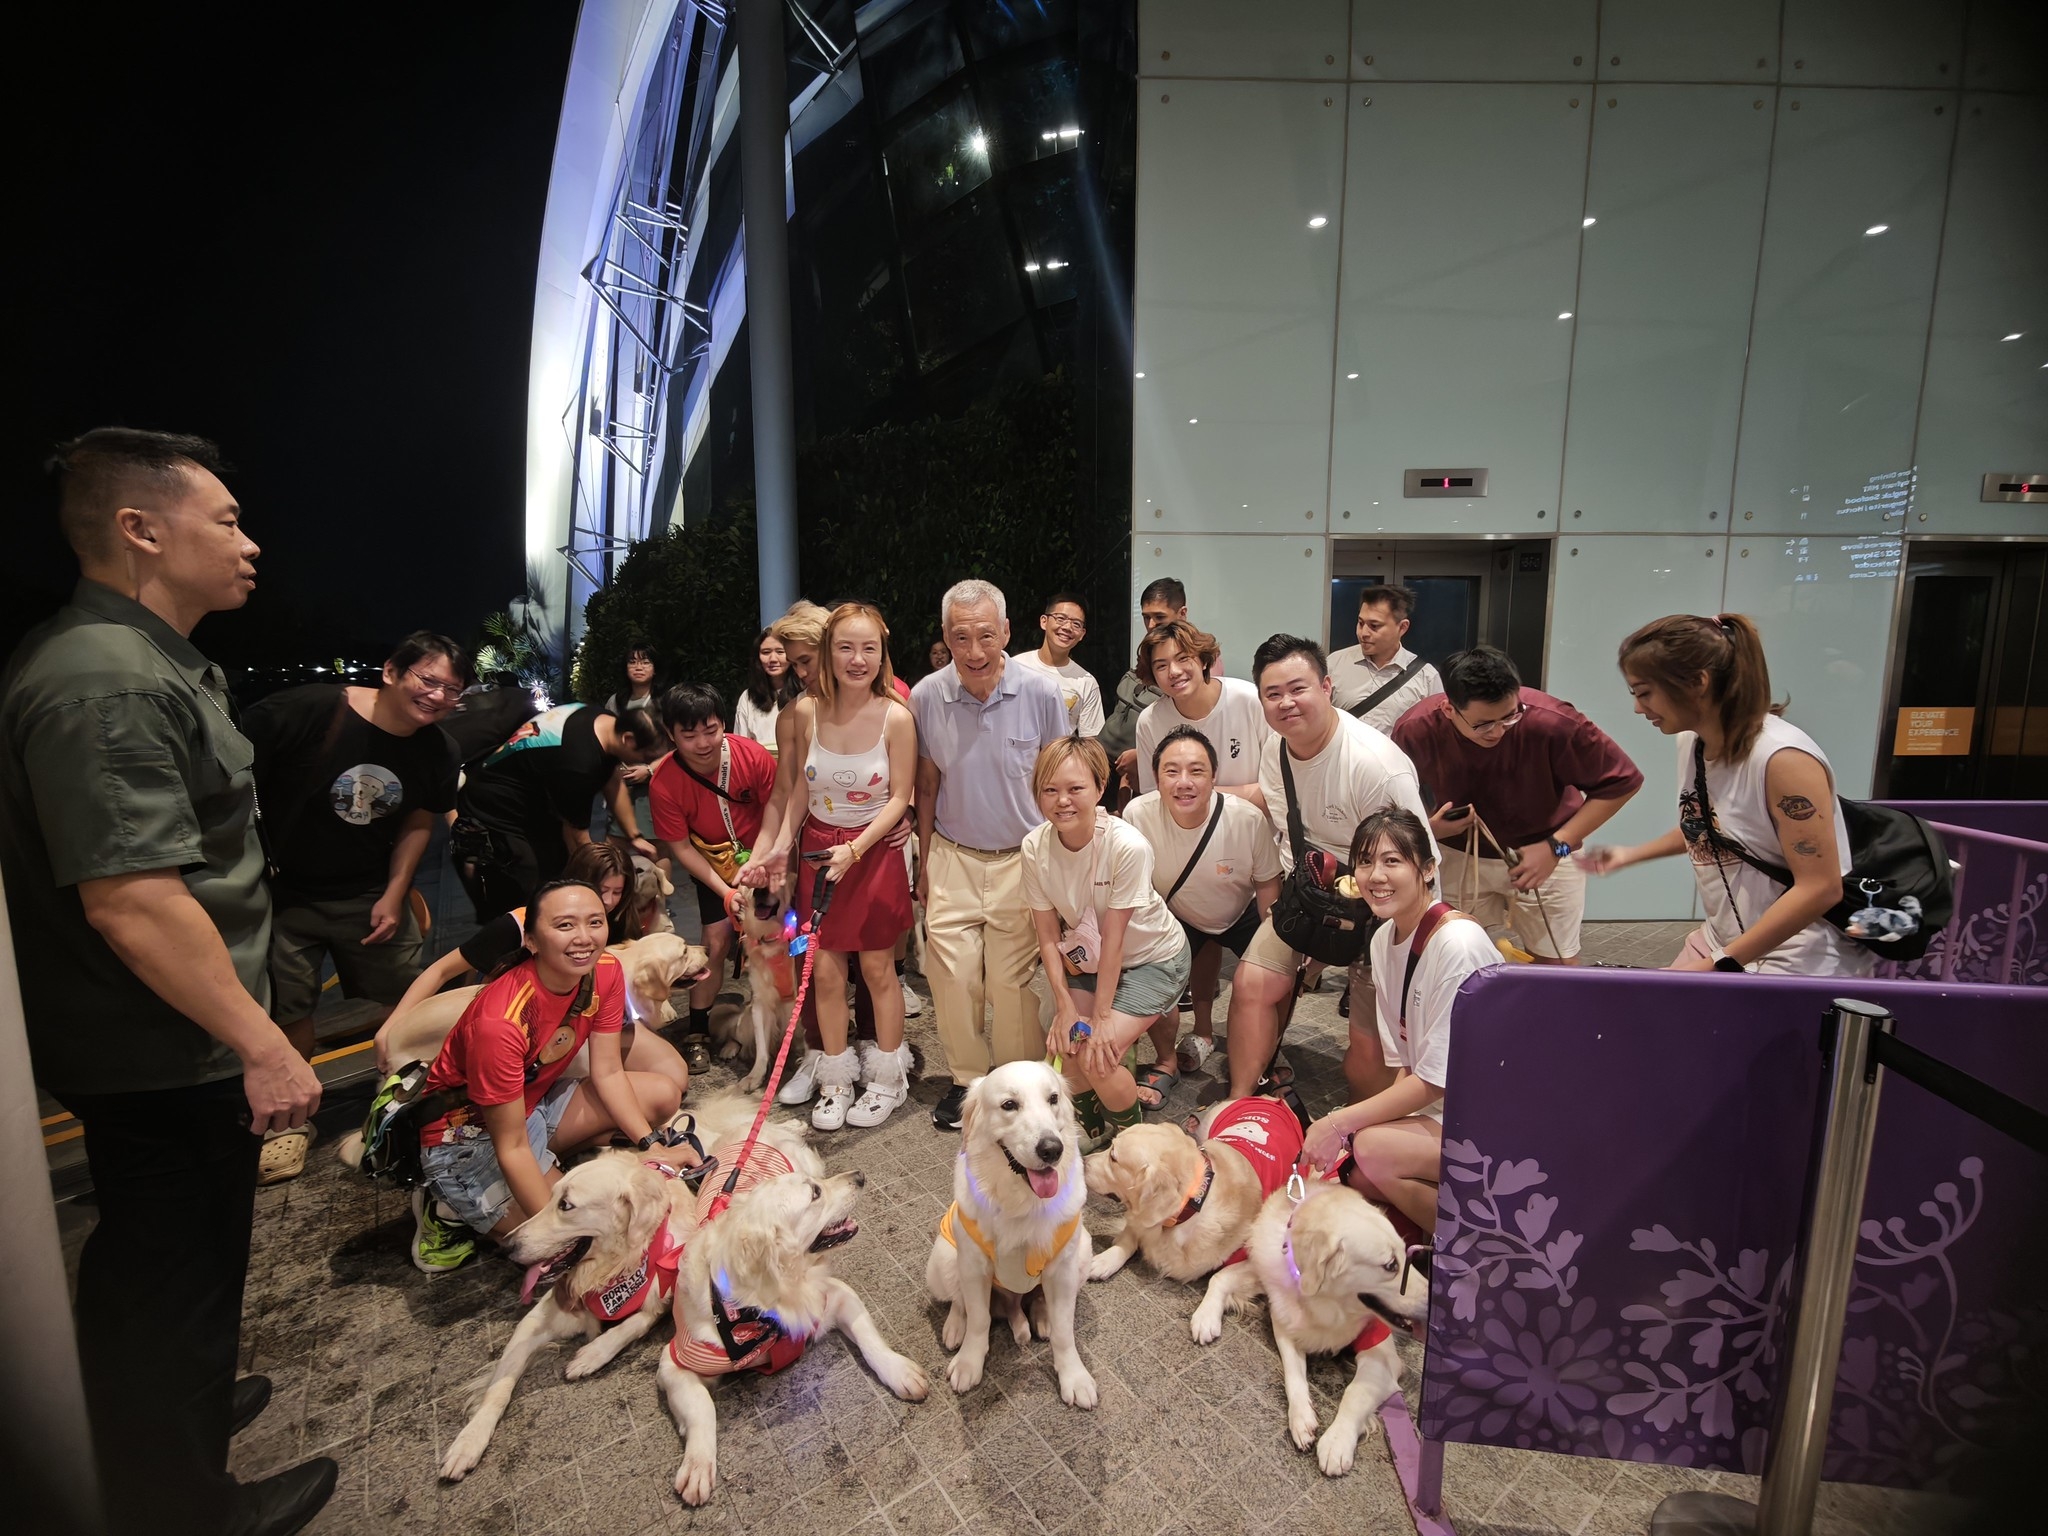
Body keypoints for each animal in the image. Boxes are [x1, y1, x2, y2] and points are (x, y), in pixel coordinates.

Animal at [656, 1104, 927, 1505]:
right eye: (814, 1194)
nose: (860, 1175)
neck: (761, 1308)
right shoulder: (676, 1360)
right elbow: (701, 1406)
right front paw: (698, 1463)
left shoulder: (835, 1295)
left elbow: (871, 1341)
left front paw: (900, 1372)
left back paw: (797, 1123)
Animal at [925, 1061, 1096, 1407]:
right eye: (1009, 1105)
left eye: (1053, 1098)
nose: (1052, 1149)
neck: (1022, 1201)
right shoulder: (973, 1266)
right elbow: (979, 1319)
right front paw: (969, 1363)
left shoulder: (1064, 1269)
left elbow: (1064, 1332)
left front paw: (1074, 1376)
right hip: (944, 1255)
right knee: (959, 1301)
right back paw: (954, 1328)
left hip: (1084, 1250)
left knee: (1036, 1300)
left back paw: (1041, 1318)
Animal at [1084, 1095, 1304, 1286]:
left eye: (1113, 1157)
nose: (1083, 1161)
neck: (1192, 1205)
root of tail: (1274, 1099)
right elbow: (1130, 1234)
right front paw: (1105, 1260)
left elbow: (1220, 1278)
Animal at [1192, 1180, 1429, 1476]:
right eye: (1391, 1265)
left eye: (1405, 1259)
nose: (1435, 1297)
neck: (1328, 1305)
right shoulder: (1283, 1315)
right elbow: (1293, 1376)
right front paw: (1301, 1419)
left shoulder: (1381, 1354)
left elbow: (1355, 1392)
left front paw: (1337, 1441)